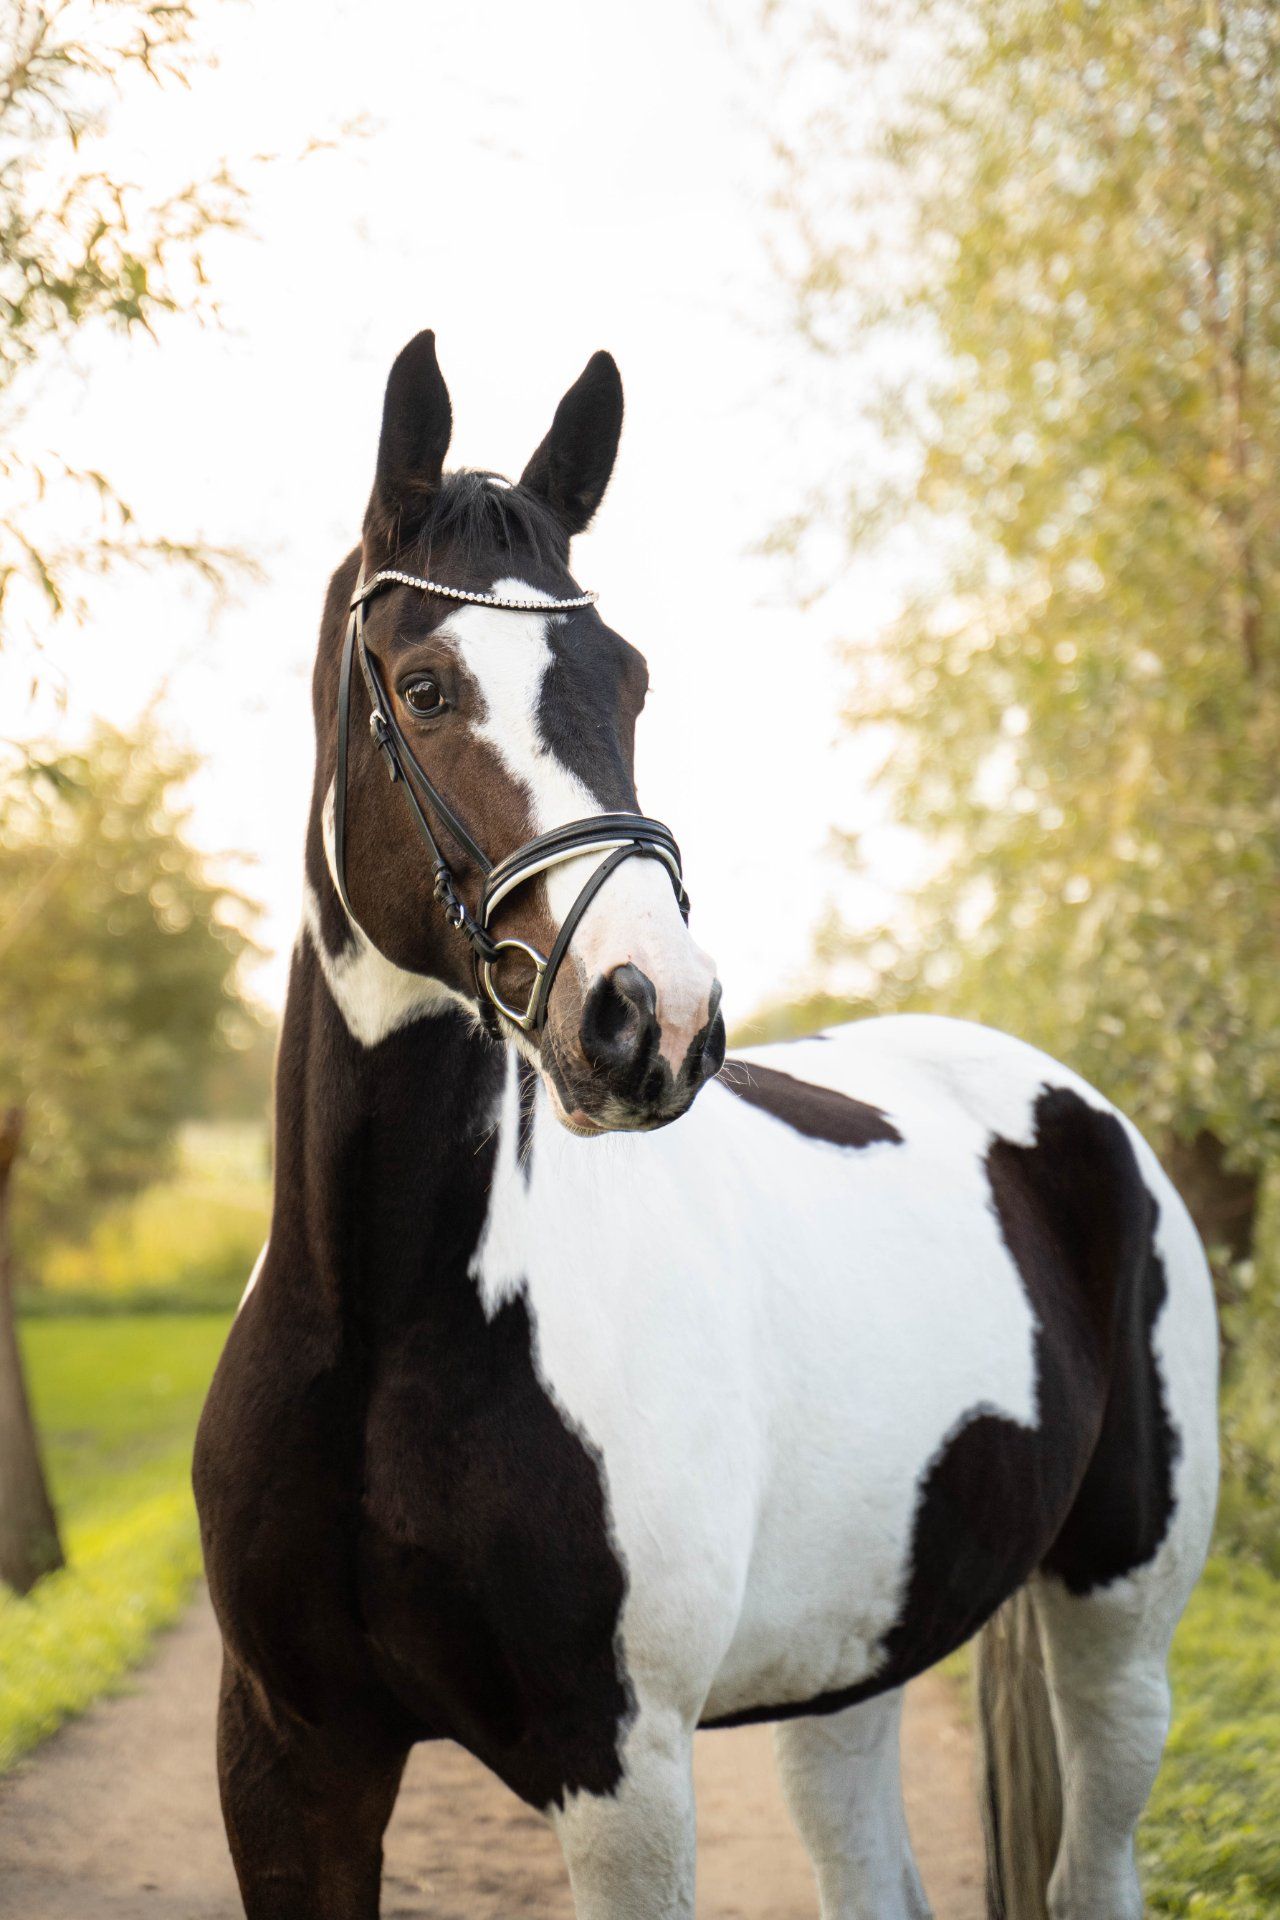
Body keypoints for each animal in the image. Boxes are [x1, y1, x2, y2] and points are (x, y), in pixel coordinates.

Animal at [194, 330, 1219, 1920]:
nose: (649, 1017)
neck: (385, 1325)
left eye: (628, 680)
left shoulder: (622, 1776)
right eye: (422, 687)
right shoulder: (291, 1759)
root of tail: (1075, 1111)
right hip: (853, 1663)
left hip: (1118, 1633)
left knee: (1089, 1870)